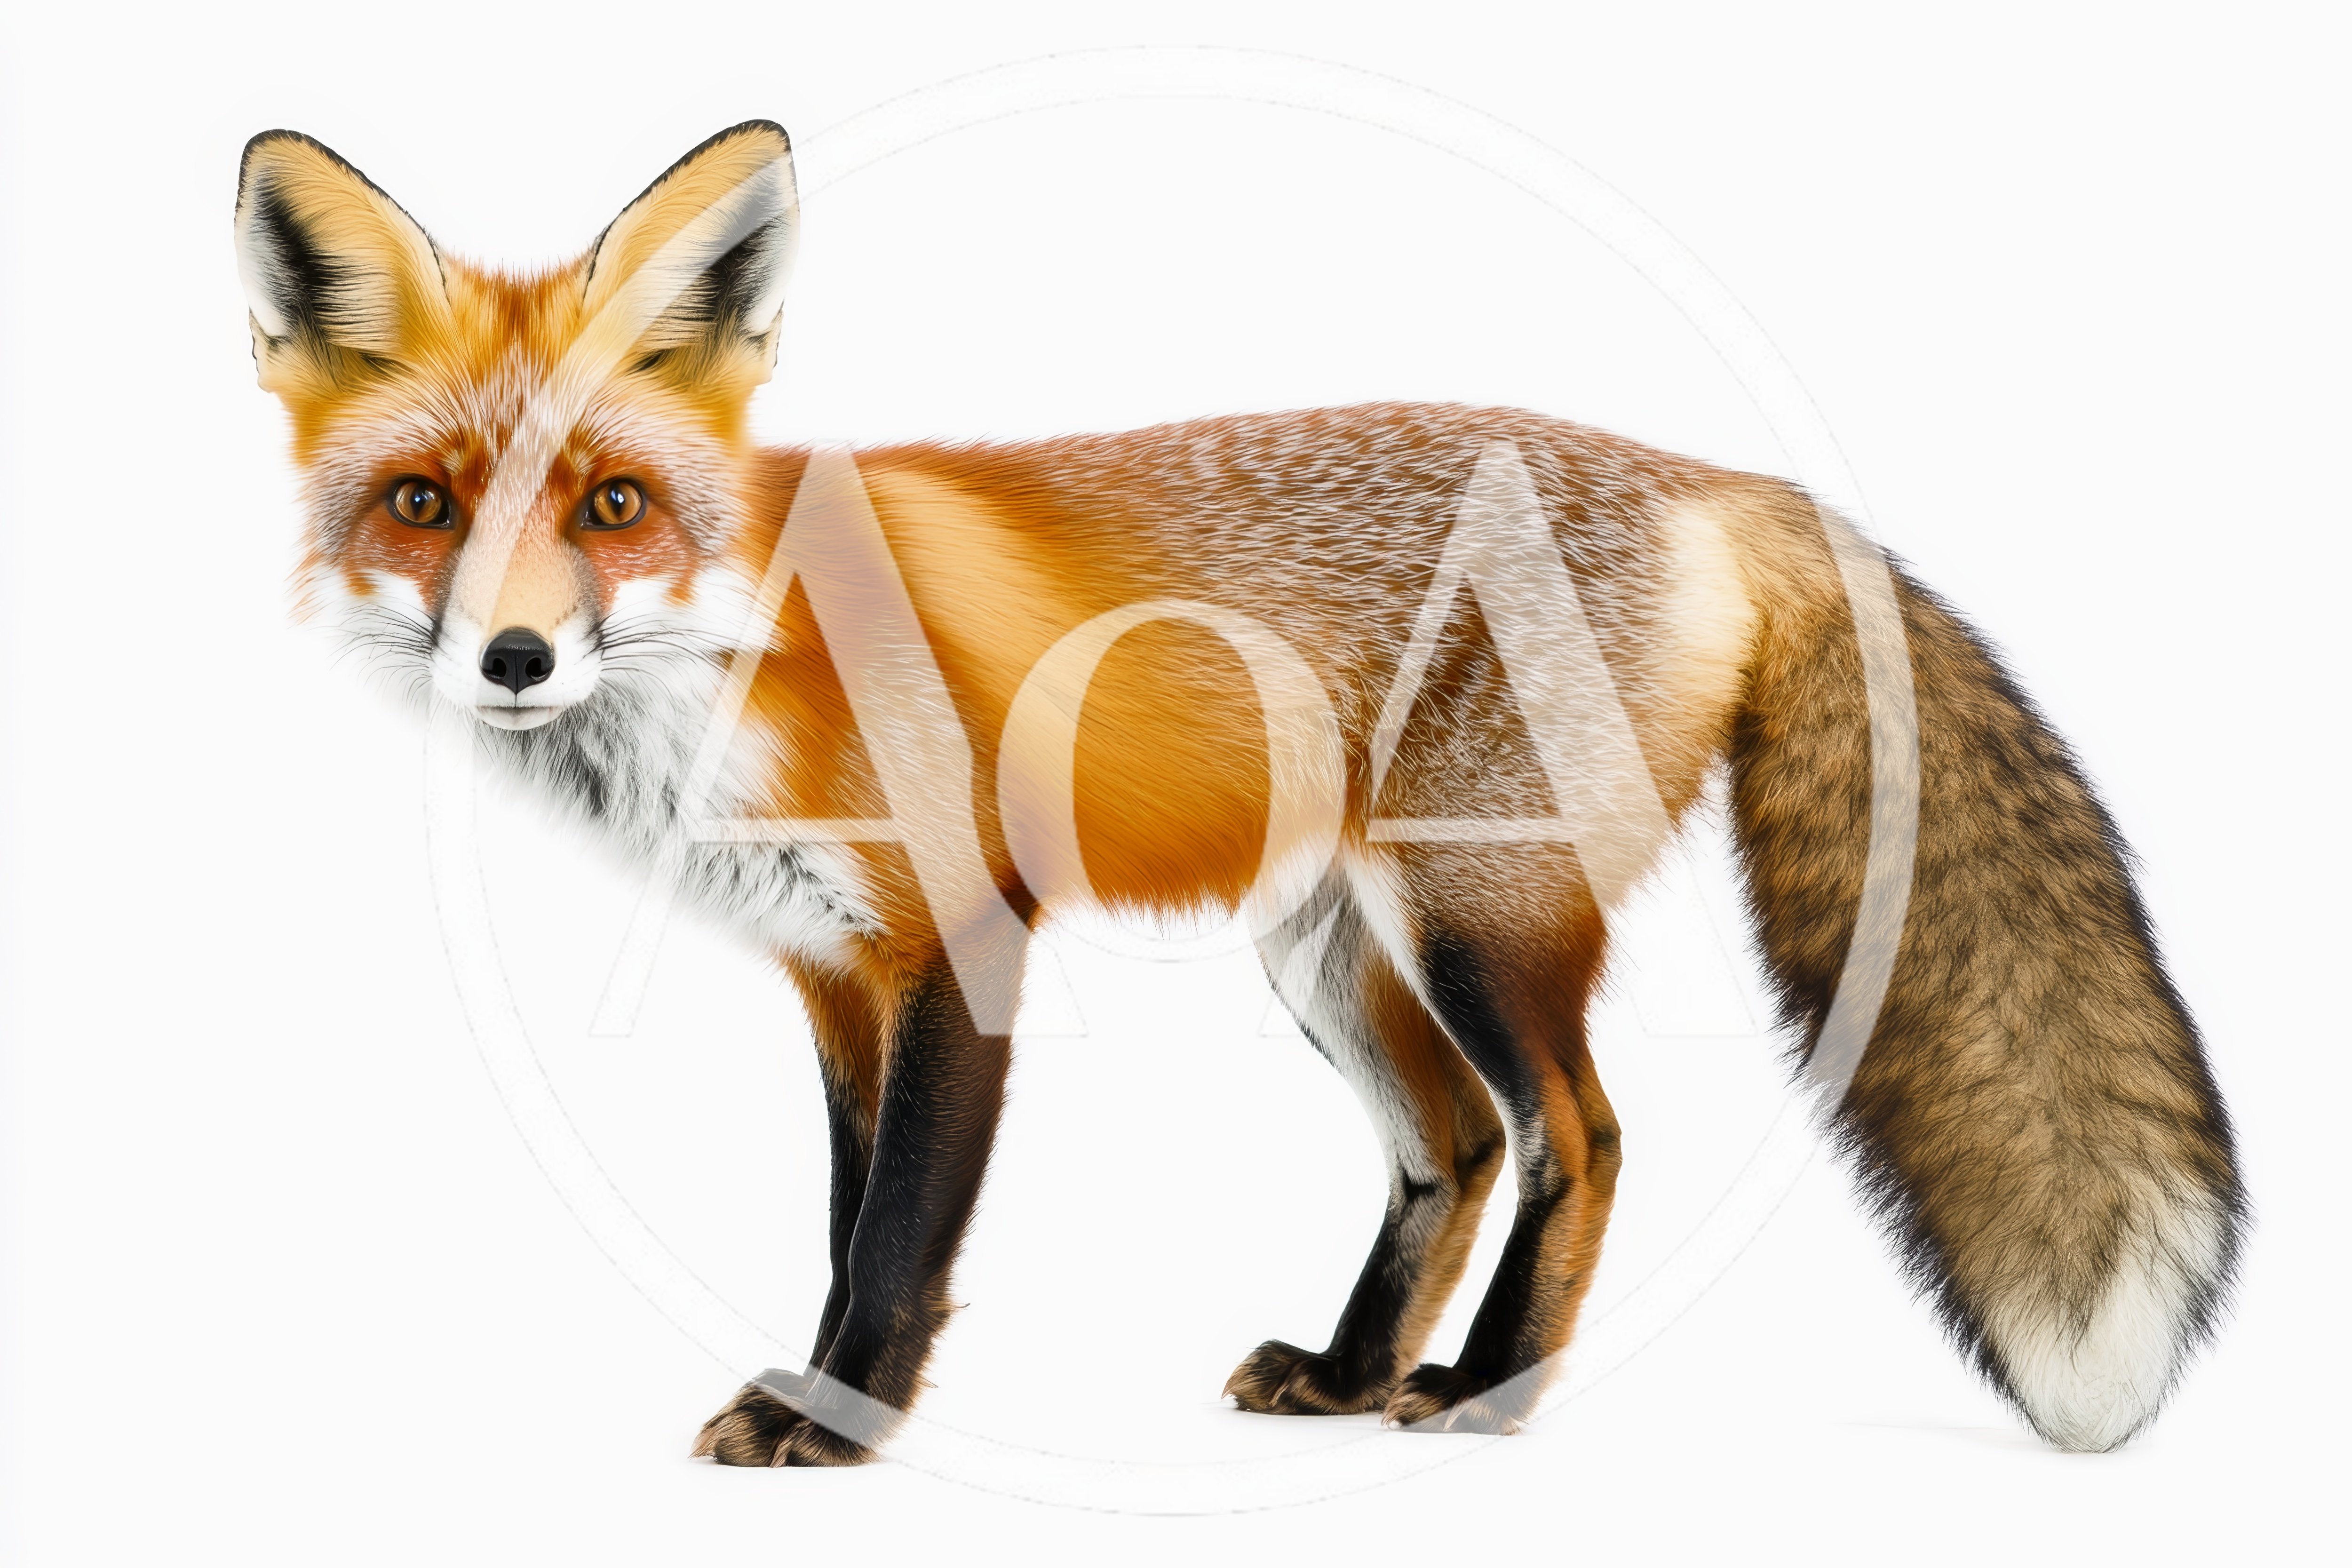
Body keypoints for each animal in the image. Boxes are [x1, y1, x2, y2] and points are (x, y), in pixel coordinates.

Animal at [234, 120, 2244, 1467]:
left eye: (611, 506)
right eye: (422, 506)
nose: (511, 661)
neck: (737, 658)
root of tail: (1712, 477)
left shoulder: (961, 946)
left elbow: (897, 1236)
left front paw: (841, 1417)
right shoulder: (831, 973)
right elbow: (843, 1210)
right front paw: (825, 1393)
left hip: (1473, 921)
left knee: (1579, 1139)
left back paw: (1480, 1393)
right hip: (1328, 948)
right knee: (1456, 1147)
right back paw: (1351, 1379)